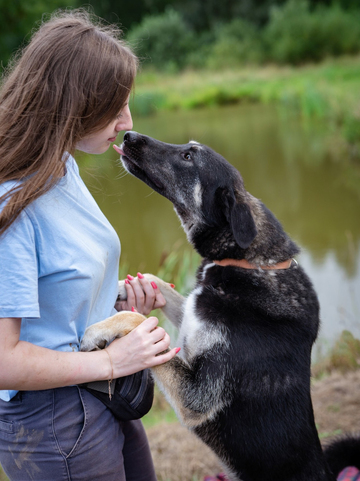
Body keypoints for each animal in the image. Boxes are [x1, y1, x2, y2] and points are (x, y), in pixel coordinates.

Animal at [81, 131, 360, 480]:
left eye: (189, 157)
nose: (129, 134)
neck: (247, 263)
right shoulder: (190, 316)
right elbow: (159, 283)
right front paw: (122, 286)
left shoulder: (197, 397)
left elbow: (143, 323)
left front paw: (98, 330)